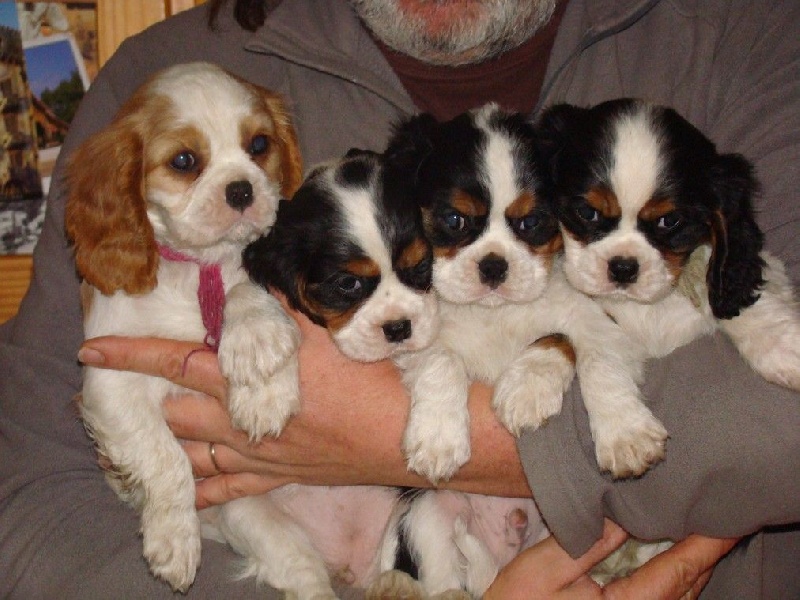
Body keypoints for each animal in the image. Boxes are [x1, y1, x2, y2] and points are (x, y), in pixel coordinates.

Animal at [63, 62, 304, 592]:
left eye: (259, 144)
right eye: (184, 160)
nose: (241, 189)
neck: (197, 270)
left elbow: (244, 289)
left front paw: (260, 373)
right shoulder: (110, 382)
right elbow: (164, 456)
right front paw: (173, 538)